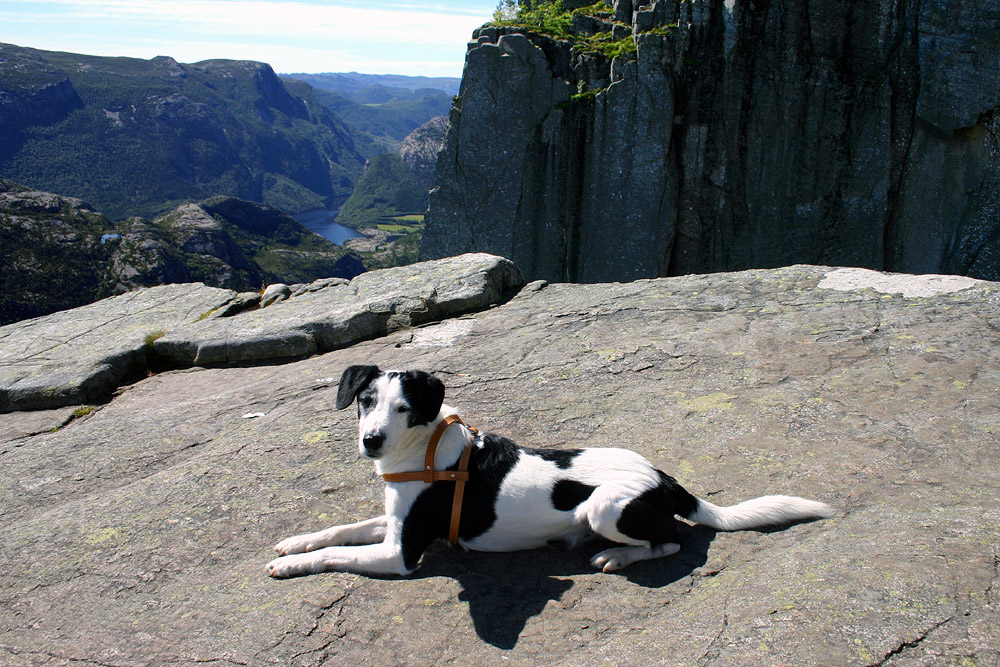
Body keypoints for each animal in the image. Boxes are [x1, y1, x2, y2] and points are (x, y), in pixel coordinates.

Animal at [264, 366, 828, 580]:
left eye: (404, 408)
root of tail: (663, 476)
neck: (423, 451)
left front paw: (291, 566)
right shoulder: (394, 522)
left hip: (605, 507)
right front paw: (295, 543)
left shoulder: (399, 553)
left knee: (672, 541)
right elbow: (340, 530)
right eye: (366, 401)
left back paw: (617, 557)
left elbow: (338, 555)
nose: (371, 440)